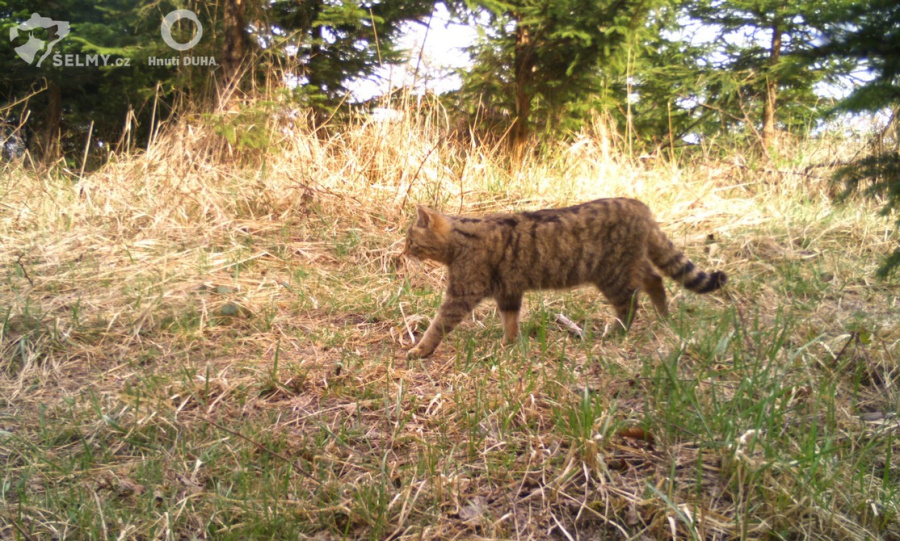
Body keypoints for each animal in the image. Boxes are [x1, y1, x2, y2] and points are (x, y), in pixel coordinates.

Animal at [404, 198, 728, 358]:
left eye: (409, 239)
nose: (403, 251)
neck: (459, 239)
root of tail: (640, 205)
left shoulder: (462, 293)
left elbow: (437, 325)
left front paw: (420, 349)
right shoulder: (509, 290)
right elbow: (510, 320)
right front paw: (509, 344)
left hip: (612, 273)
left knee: (631, 301)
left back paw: (617, 331)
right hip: (629, 263)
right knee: (655, 279)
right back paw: (663, 317)